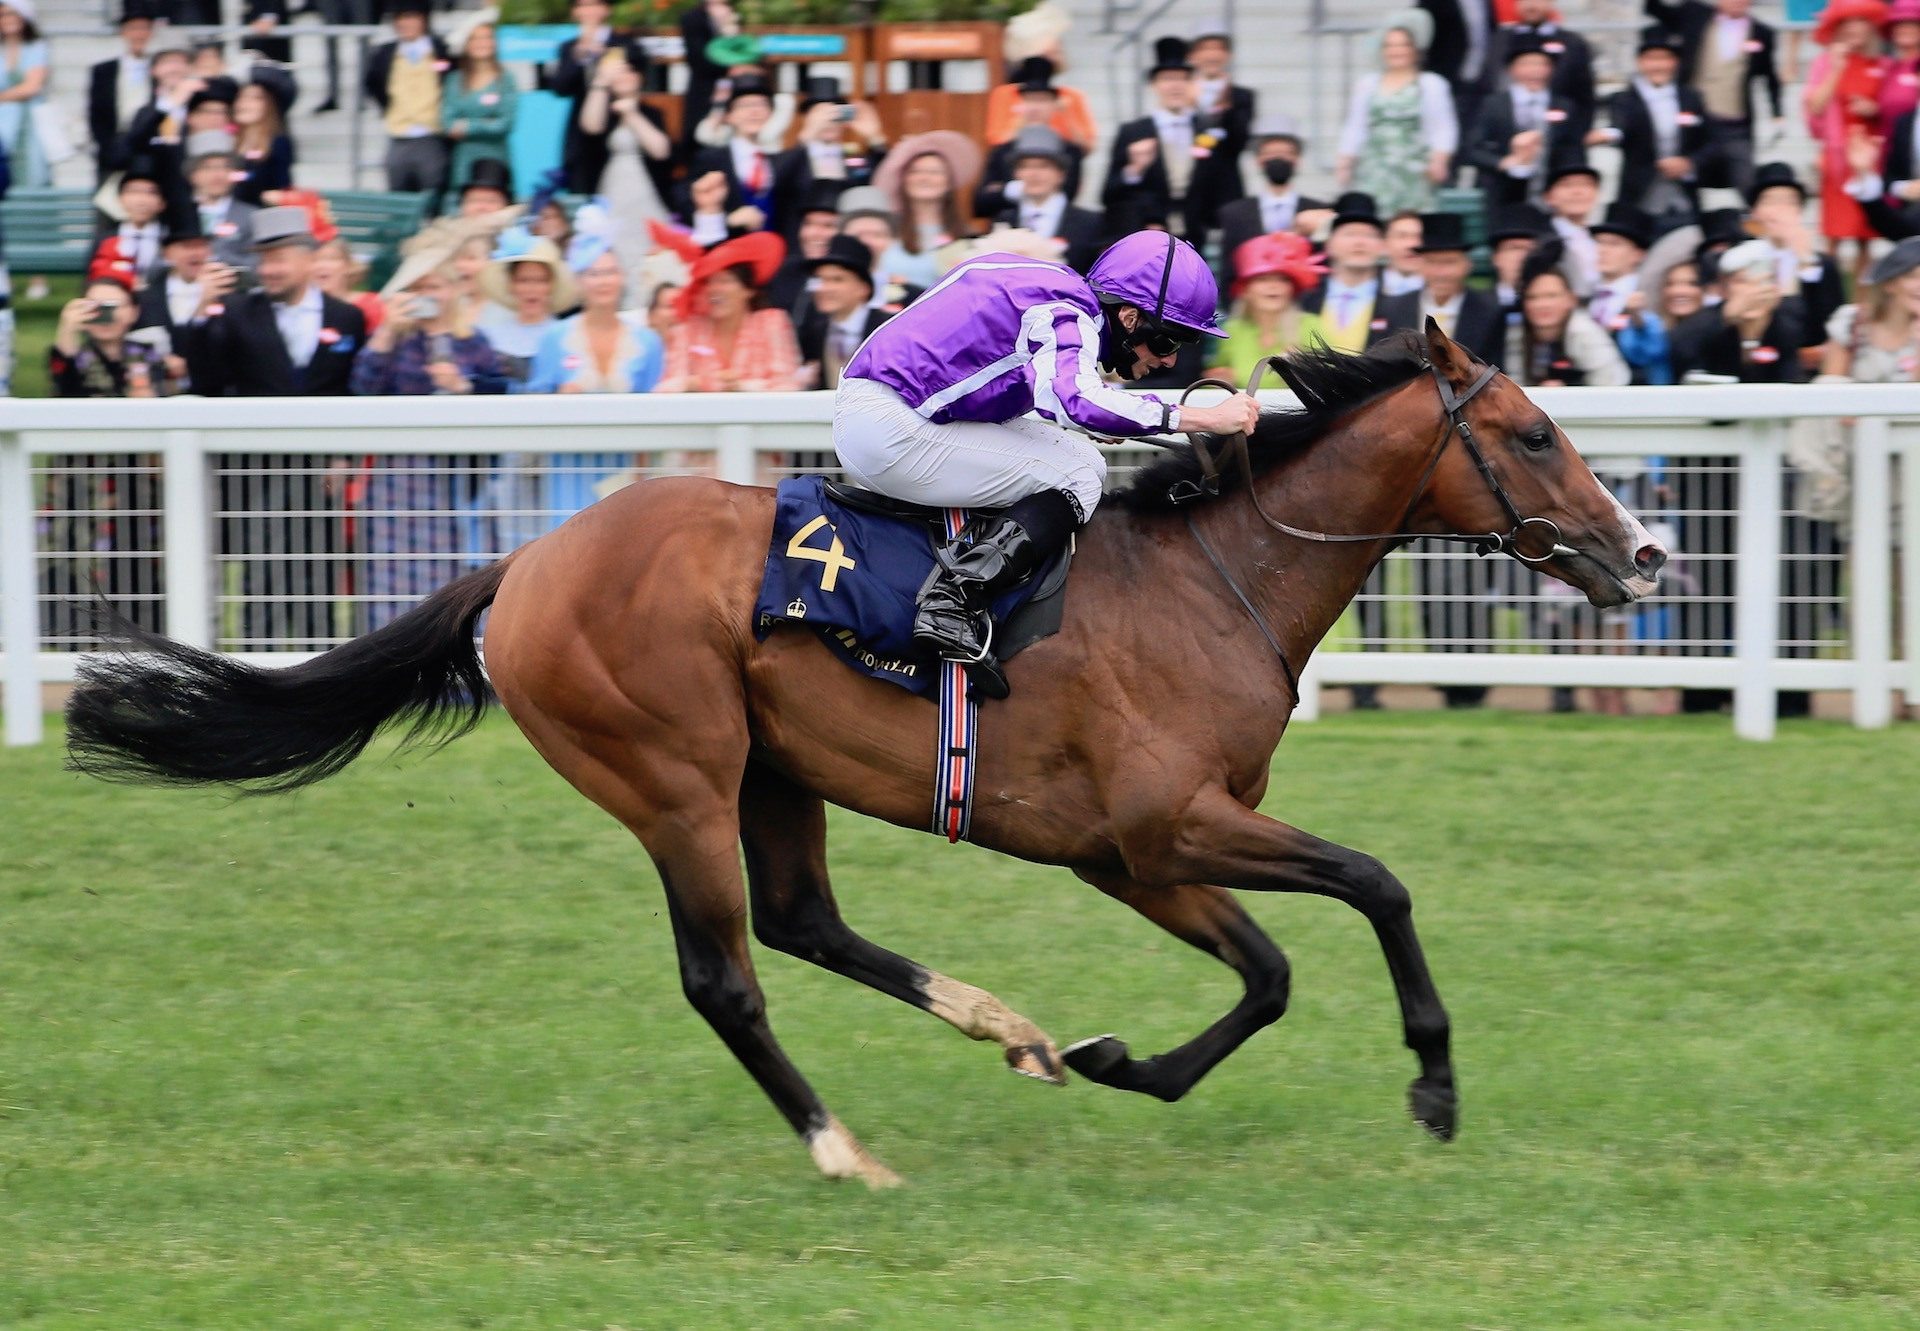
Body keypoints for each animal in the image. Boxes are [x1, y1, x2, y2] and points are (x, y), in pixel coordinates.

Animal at [67, 326, 1666, 1190]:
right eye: (1534, 431)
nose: (1644, 552)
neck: (1214, 577)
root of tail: (524, 564)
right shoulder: (1163, 829)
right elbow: (1372, 889)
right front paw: (1433, 1084)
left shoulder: (1129, 853)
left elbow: (1271, 969)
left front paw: (1116, 1057)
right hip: (673, 774)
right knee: (728, 972)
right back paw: (845, 1147)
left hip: (776, 773)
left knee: (804, 921)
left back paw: (1009, 1026)